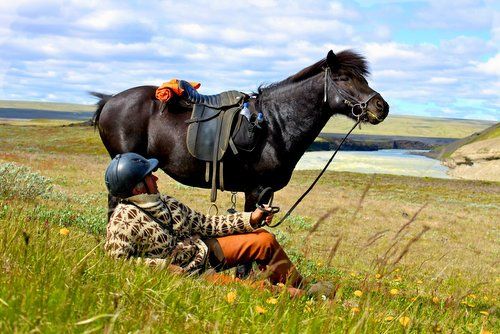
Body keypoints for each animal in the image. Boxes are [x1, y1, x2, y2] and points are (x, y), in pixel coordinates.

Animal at [94, 50, 390, 214]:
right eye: (344, 79)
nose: (382, 107)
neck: (276, 124)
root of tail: (110, 100)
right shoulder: (256, 191)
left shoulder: (265, 194)